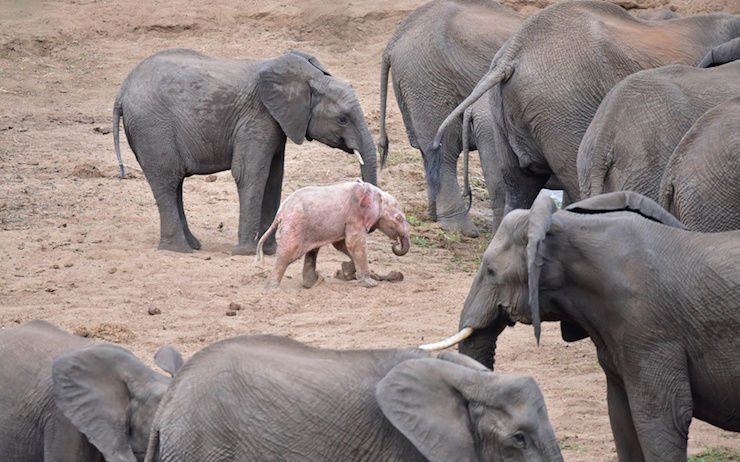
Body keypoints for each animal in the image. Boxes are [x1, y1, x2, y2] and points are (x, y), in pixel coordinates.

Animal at [113, 48, 377, 254]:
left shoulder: (275, 122)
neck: (309, 78)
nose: (370, 228)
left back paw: (193, 245)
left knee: (175, 182)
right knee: (167, 180)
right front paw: (245, 252)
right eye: (342, 119)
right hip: (153, 127)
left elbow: (274, 178)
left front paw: (271, 251)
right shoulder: (257, 117)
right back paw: (179, 249)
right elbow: (251, 174)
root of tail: (122, 89)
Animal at [257, 179, 410, 289]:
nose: (395, 242)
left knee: (312, 250)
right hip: (294, 226)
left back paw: (314, 283)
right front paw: (370, 284)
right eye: (399, 218)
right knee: (287, 254)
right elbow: (354, 244)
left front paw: (346, 271)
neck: (371, 191)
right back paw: (273, 290)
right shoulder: (354, 215)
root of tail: (280, 212)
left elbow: (342, 245)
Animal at [378, 0, 524, 236]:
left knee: (427, 150)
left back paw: (433, 216)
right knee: (445, 150)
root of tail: (396, 38)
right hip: (428, 78)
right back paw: (461, 229)